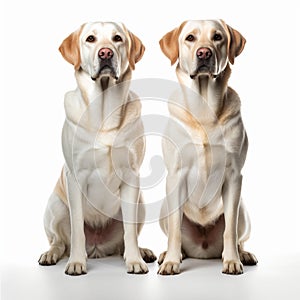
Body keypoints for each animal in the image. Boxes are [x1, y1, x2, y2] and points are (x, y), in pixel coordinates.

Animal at [38, 21, 156, 276]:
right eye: (90, 39)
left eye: (117, 38)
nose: (106, 53)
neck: (104, 114)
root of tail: (98, 248)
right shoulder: (75, 177)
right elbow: (77, 229)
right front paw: (76, 262)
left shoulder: (131, 176)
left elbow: (130, 232)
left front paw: (135, 260)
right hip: (56, 205)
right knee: (59, 241)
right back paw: (51, 254)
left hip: (140, 204)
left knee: (124, 239)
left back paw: (141, 252)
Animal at [157, 19, 258, 276]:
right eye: (190, 38)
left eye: (217, 37)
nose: (204, 53)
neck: (204, 109)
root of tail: (203, 249)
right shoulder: (176, 175)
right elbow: (175, 230)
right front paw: (171, 261)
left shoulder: (234, 176)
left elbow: (230, 230)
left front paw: (232, 261)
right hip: (164, 208)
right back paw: (170, 255)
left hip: (243, 212)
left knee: (238, 235)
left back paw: (243, 254)